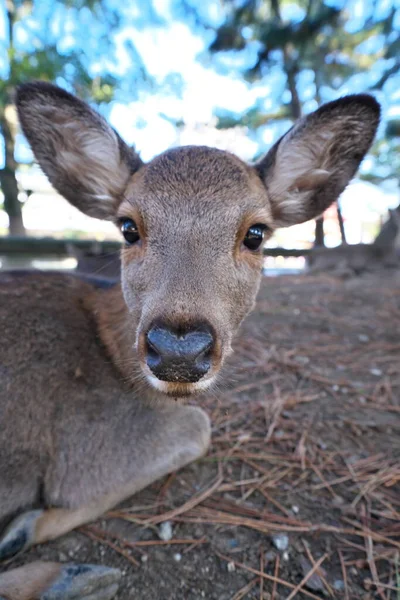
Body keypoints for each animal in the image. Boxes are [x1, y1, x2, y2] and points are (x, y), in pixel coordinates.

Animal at [0, 81, 382, 600]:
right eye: (128, 227)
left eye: (256, 233)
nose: (179, 350)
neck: (110, 353)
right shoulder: (83, 450)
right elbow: (199, 427)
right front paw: (25, 527)